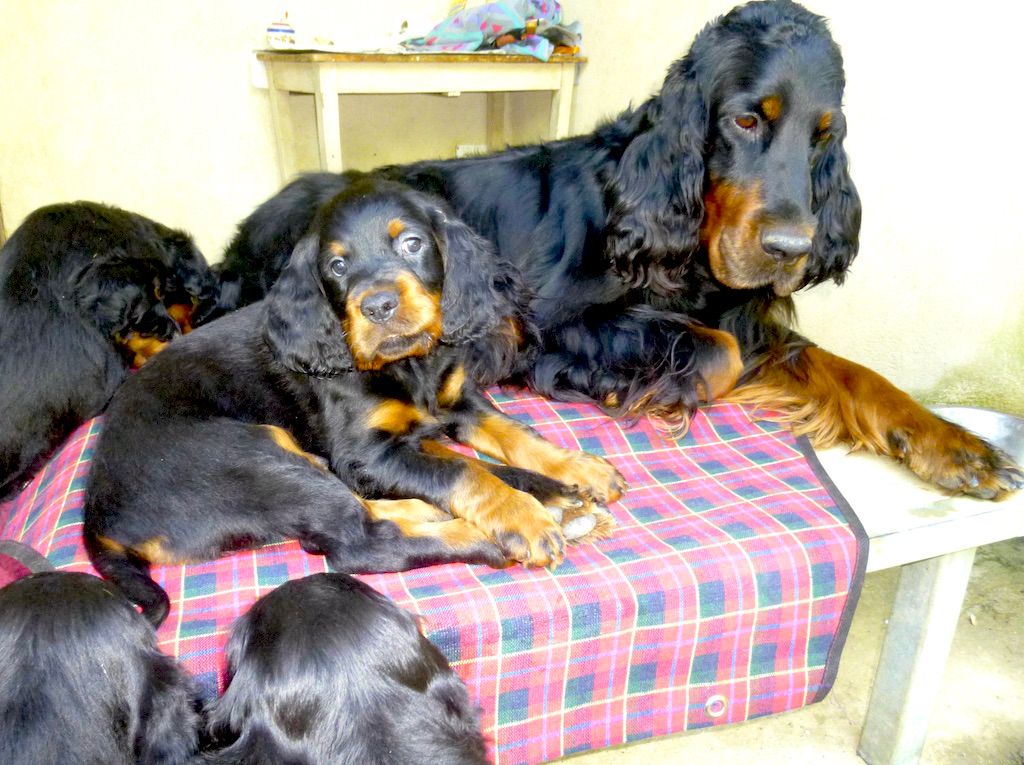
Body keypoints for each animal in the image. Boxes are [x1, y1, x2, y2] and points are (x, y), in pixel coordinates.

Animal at [81, 181, 622, 626]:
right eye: (337, 266)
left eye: (412, 243)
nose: (378, 306)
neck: (409, 364)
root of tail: (100, 517)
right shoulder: (364, 454)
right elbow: (463, 471)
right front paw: (522, 516)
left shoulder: (453, 403)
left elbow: (509, 436)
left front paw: (576, 471)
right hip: (251, 456)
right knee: (355, 542)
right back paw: (493, 532)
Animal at [211, 0, 1019, 499]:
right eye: (746, 120)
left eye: (826, 134)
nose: (792, 246)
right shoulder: (553, 326)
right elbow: (718, 355)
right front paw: (650, 389)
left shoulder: (746, 312)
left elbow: (844, 370)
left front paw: (953, 444)